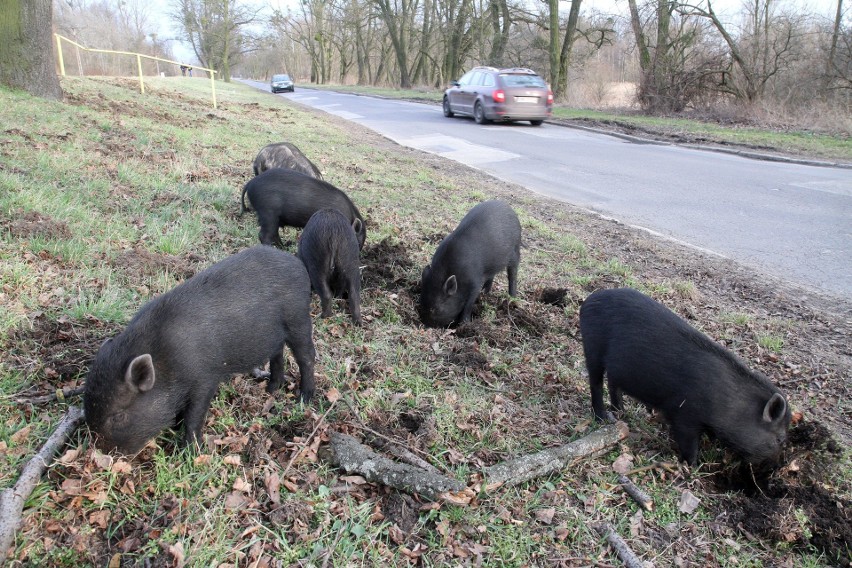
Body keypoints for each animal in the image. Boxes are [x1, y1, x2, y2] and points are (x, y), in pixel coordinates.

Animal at [84, 246, 316, 454]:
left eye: (118, 416)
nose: (103, 453)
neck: (165, 361)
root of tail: (298, 264)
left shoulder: (205, 378)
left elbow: (194, 415)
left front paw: (190, 452)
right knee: (278, 354)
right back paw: (271, 389)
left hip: (298, 319)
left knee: (306, 357)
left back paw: (304, 398)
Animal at [580, 288, 792, 466]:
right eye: (780, 439)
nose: (777, 466)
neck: (732, 406)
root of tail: (588, 300)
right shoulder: (684, 415)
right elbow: (689, 443)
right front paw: (693, 466)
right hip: (592, 348)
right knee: (595, 383)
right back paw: (602, 418)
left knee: (613, 383)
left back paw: (621, 412)